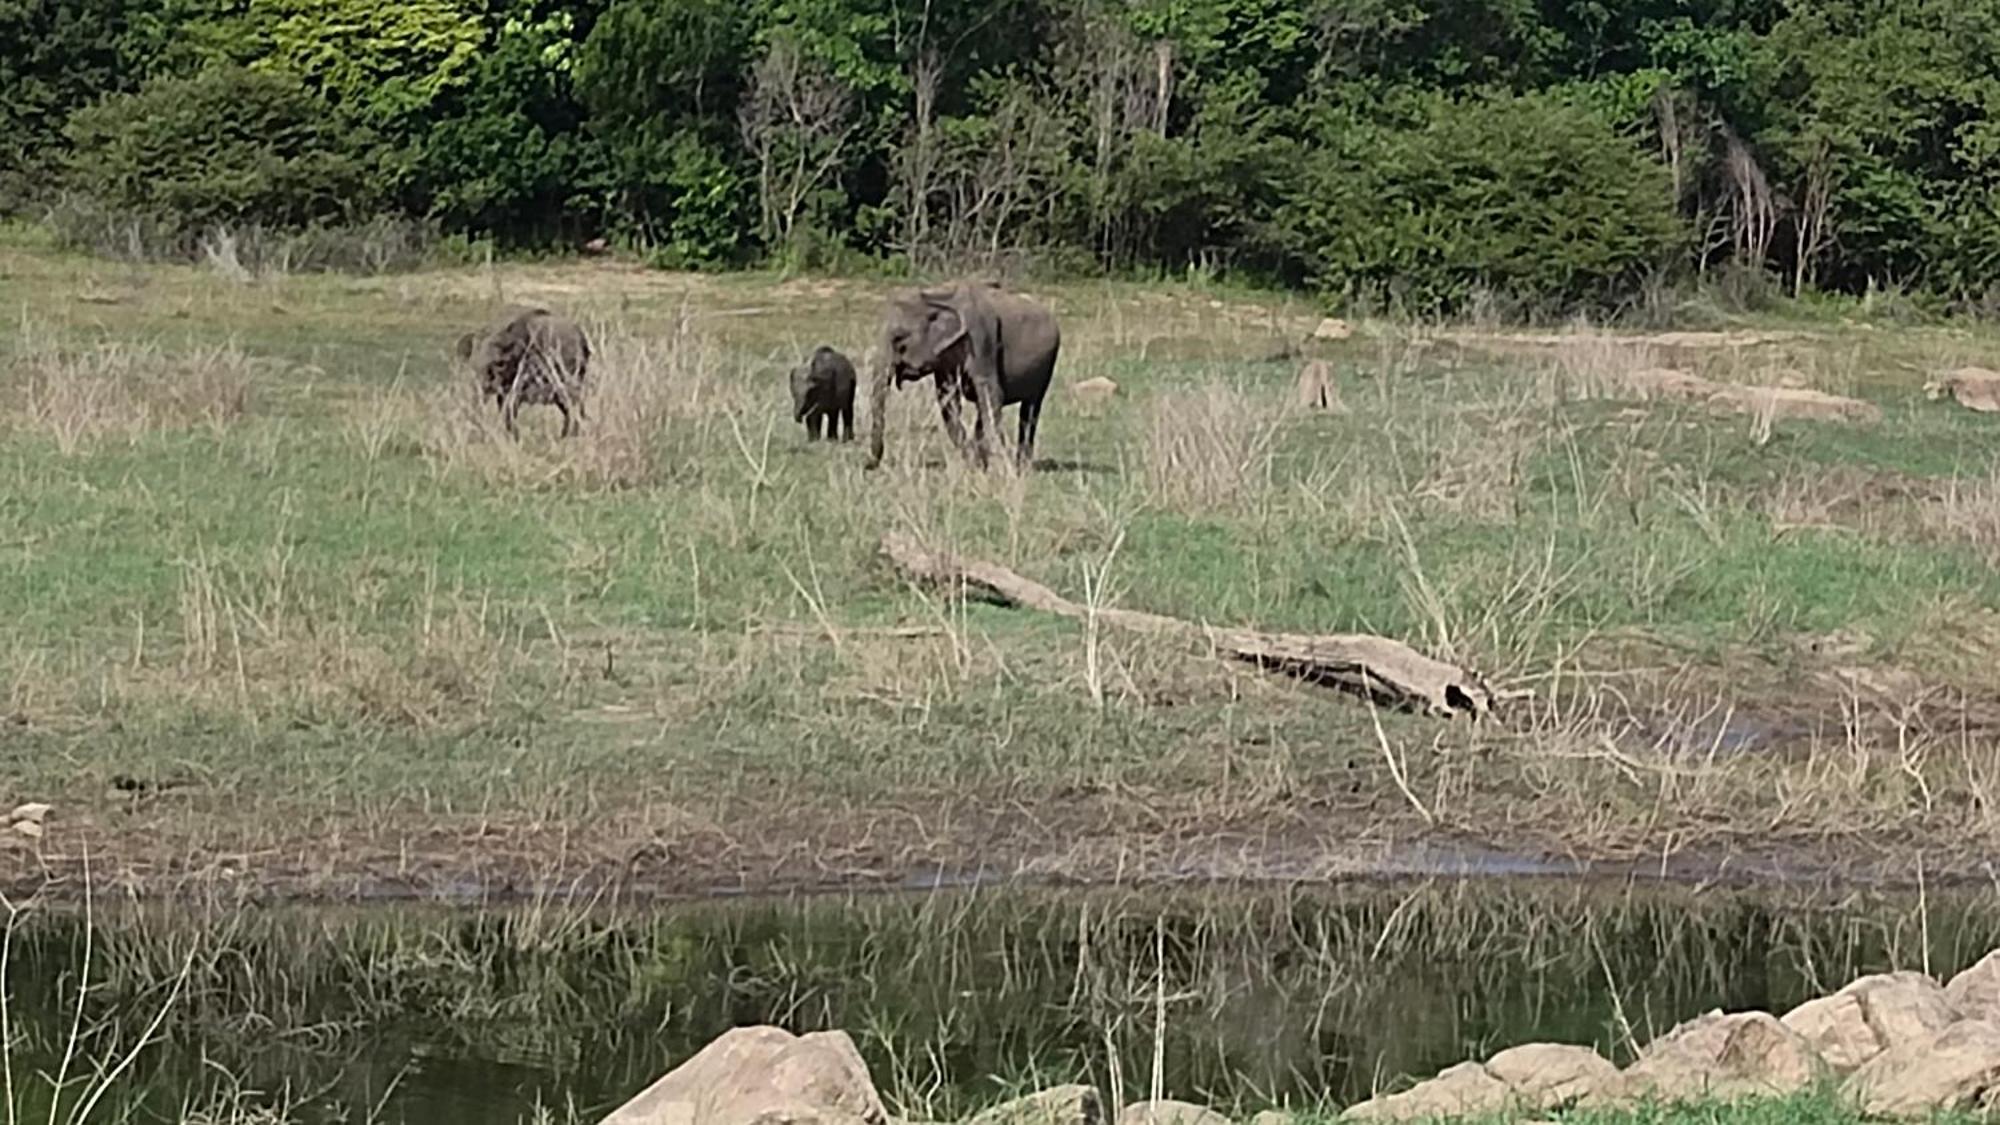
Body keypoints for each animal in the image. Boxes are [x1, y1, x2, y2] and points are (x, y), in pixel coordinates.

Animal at [868, 284, 1072, 472]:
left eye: (899, 339)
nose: (870, 464)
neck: (936, 295)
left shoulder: (982, 339)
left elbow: (990, 391)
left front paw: (999, 466)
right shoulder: (945, 360)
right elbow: (948, 398)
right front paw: (975, 464)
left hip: (1047, 365)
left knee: (1029, 409)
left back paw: (1022, 467)